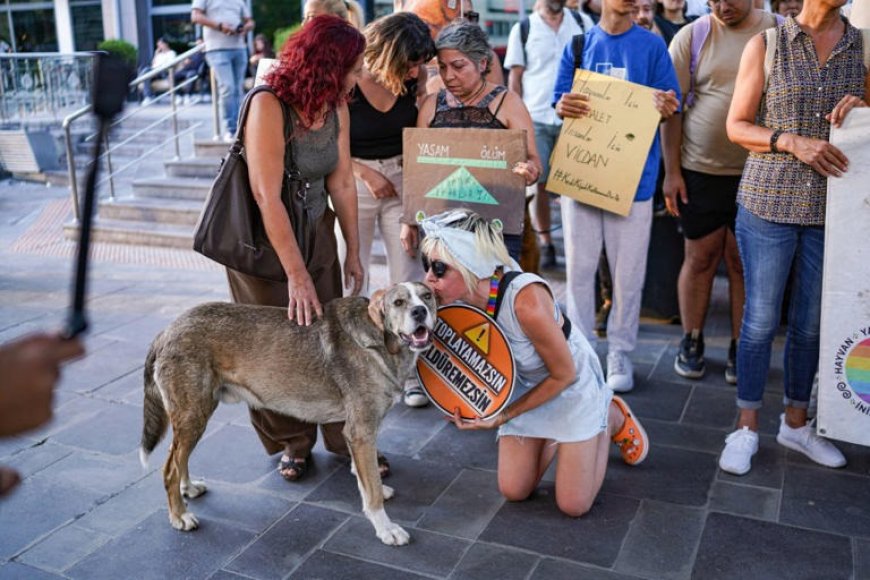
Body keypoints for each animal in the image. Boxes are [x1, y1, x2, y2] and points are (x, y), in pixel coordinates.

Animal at [141, 284, 440, 548]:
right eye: (398, 302)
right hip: (194, 416)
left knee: (177, 456)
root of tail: (167, 330)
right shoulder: (361, 432)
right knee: (169, 468)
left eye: (427, 296)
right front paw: (385, 528)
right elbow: (373, 491)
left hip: (195, 417)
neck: (377, 339)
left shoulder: (357, 434)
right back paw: (179, 515)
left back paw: (188, 488)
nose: (420, 312)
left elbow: (365, 477)